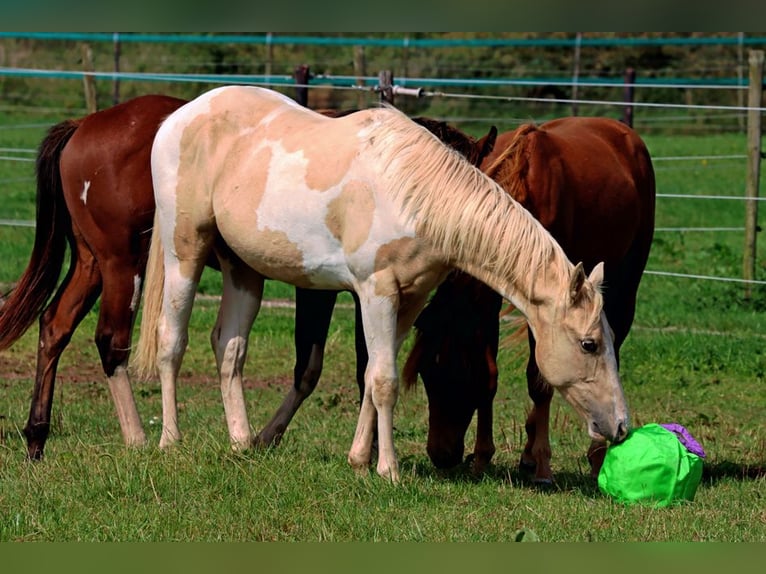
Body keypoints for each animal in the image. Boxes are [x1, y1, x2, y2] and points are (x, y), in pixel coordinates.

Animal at [0, 95, 498, 464]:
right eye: (445, 369)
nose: (447, 457)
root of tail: (84, 124)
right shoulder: (327, 290)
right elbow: (317, 367)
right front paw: (277, 437)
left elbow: (362, 363)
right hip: (123, 264)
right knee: (111, 340)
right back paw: (140, 437)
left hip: (91, 262)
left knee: (55, 326)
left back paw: (37, 438)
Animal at [135, 84, 632, 482]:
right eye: (589, 344)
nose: (622, 426)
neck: (415, 194)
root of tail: (178, 117)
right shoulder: (376, 293)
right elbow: (384, 381)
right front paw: (388, 469)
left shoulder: (408, 300)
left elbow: (376, 371)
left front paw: (359, 459)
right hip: (185, 251)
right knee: (171, 340)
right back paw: (170, 440)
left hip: (243, 269)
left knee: (230, 348)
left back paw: (241, 441)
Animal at [402, 117, 660, 482]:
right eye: (427, 372)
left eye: (454, 374)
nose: (441, 456)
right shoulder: (492, 299)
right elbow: (490, 376)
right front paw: (483, 456)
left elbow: (538, 380)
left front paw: (542, 465)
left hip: (627, 284)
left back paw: (595, 454)